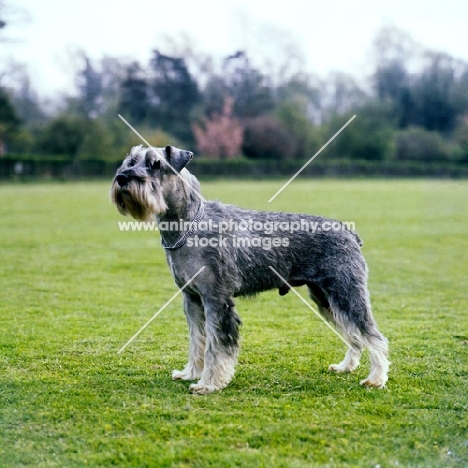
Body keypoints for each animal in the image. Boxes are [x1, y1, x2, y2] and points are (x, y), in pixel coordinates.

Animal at [111, 144, 390, 394]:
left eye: (155, 164)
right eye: (131, 161)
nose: (122, 178)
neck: (187, 225)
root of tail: (349, 232)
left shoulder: (217, 300)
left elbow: (216, 346)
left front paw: (209, 384)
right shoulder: (192, 300)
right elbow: (197, 341)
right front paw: (190, 373)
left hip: (346, 294)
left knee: (372, 335)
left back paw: (375, 379)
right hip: (326, 299)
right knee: (354, 336)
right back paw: (346, 367)